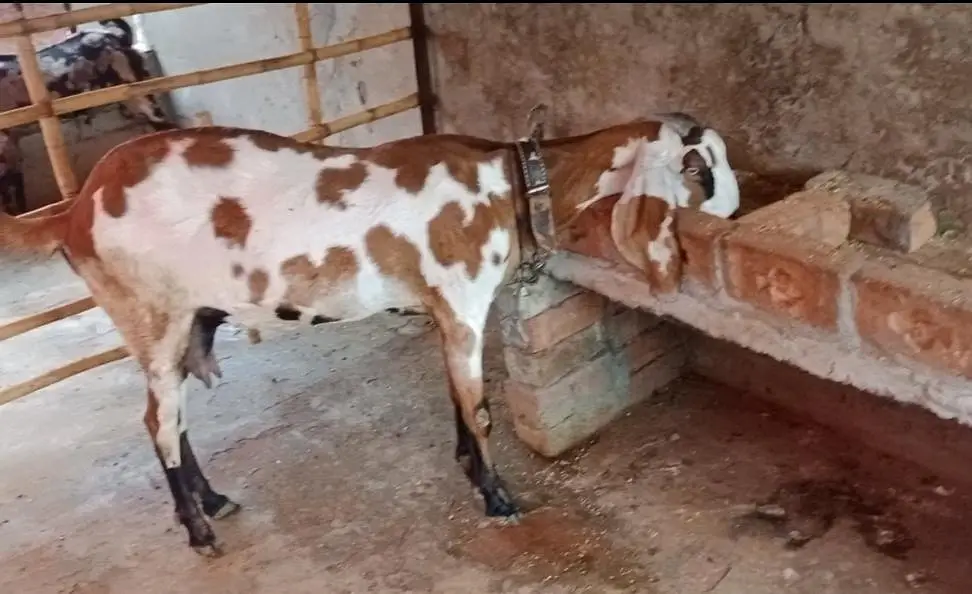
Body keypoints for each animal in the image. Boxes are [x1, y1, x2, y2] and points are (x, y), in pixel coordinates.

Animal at [0, 116, 739, 556]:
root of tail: (77, 207)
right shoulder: (464, 303)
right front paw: (499, 498)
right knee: (157, 421)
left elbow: (457, 400)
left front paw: (469, 470)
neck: (507, 184)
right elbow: (480, 408)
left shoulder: (445, 311)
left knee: (173, 416)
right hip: (150, 314)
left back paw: (212, 500)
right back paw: (199, 529)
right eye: (700, 167)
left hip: (181, 322)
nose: (734, 216)